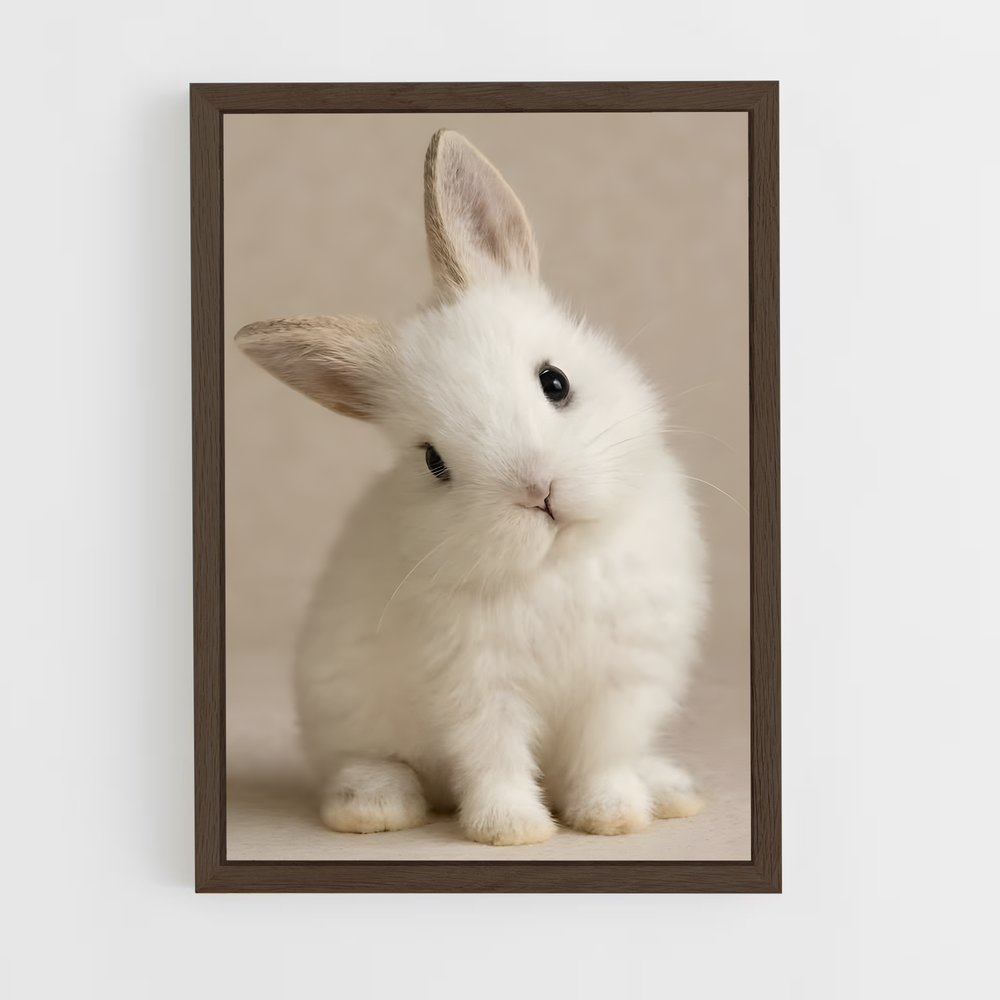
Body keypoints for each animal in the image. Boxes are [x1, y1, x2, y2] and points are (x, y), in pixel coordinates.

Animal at [235, 129, 709, 846]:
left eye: (554, 381)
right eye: (434, 461)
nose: (538, 492)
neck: (558, 564)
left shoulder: (620, 686)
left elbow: (601, 759)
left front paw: (613, 818)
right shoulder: (476, 689)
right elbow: (495, 760)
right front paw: (514, 830)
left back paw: (670, 792)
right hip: (344, 718)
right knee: (369, 764)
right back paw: (373, 808)